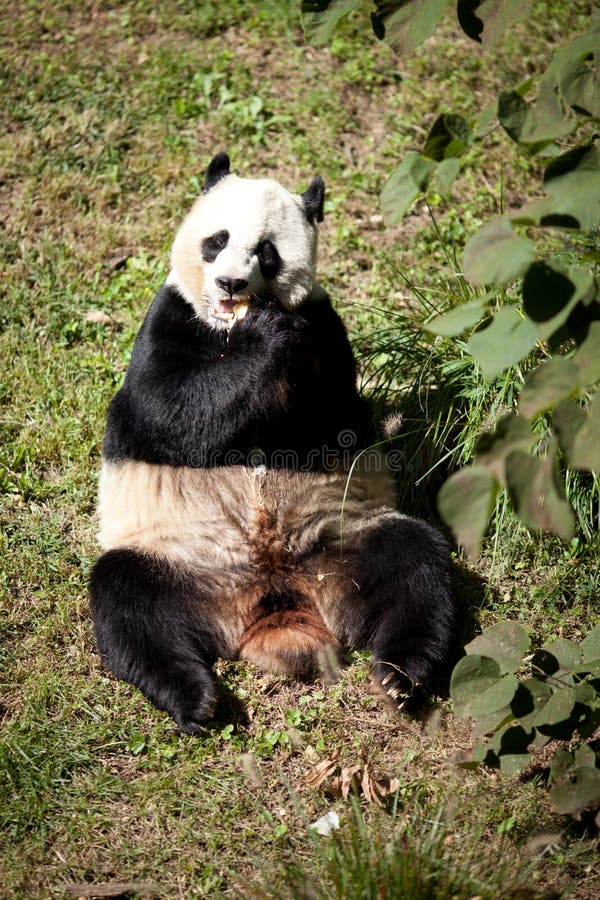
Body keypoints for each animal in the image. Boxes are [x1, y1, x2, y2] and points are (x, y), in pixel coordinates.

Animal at [89, 151, 458, 736]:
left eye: (266, 251)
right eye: (216, 239)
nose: (232, 282)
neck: (227, 326)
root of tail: (272, 601)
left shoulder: (325, 328)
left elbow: (332, 416)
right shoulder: (168, 320)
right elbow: (167, 411)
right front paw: (263, 342)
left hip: (342, 541)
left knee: (415, 565)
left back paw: (400, 676)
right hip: (177, 558)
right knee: (129, 605)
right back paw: (195, 698)